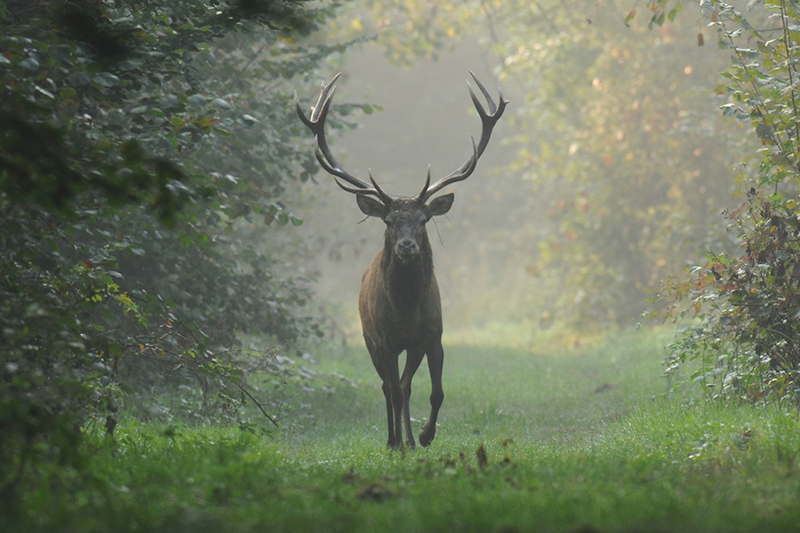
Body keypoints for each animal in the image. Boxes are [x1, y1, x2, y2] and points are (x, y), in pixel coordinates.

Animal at [296, 72, 506, 449]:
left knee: (406, 386)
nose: (407, 247)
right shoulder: (385, 339)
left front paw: (424, 435)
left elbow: (435, 392)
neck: (407, 310)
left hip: (411, 348)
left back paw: (407, 439)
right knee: (388, 387)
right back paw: (393, 439)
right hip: (369, 338)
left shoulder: (432, 337)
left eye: (423, 220)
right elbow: (392, 390)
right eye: (389, 221)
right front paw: (398, 440)